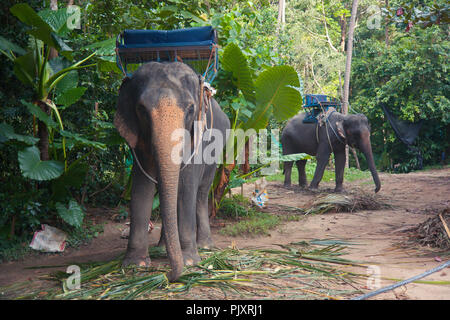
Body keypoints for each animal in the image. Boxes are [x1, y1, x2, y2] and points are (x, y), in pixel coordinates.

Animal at [114, 61, 230, 282]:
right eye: (141, 109)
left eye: (191, 109)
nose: (167, 275)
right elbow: (141, 187)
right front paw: (135, 265)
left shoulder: (196, 142)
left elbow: (186, 186)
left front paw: (190, 262)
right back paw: (162, 247)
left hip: (217, 151)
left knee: (201, 193)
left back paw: (205, 246)